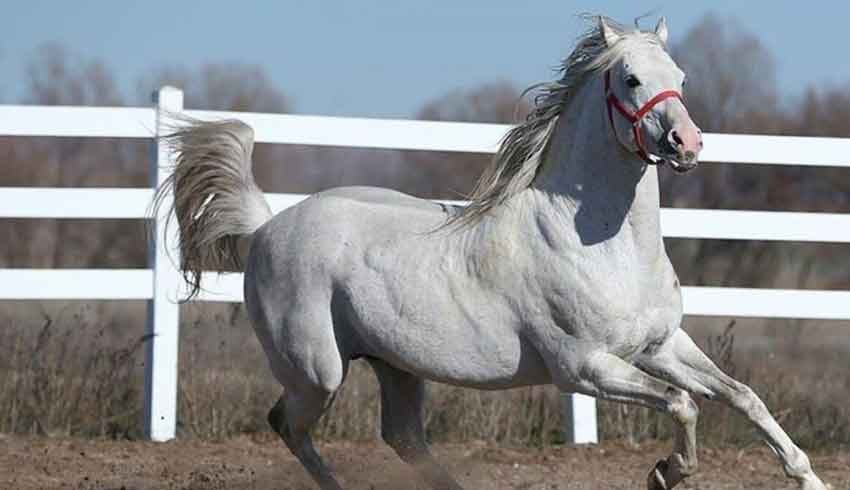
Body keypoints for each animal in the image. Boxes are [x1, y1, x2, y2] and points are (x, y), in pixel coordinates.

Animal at [156, 15, 824, 490]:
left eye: (681, 78)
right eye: (632, 78)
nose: (687, 143)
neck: (604, 248)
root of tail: (268, 225)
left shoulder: (659, 347)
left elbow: (741, 395)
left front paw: (807, 475)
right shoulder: (585, 369)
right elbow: (684, 406)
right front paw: (666, 472)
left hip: (395, 365)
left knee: (403, 437)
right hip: (319, 370)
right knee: (288, 425)